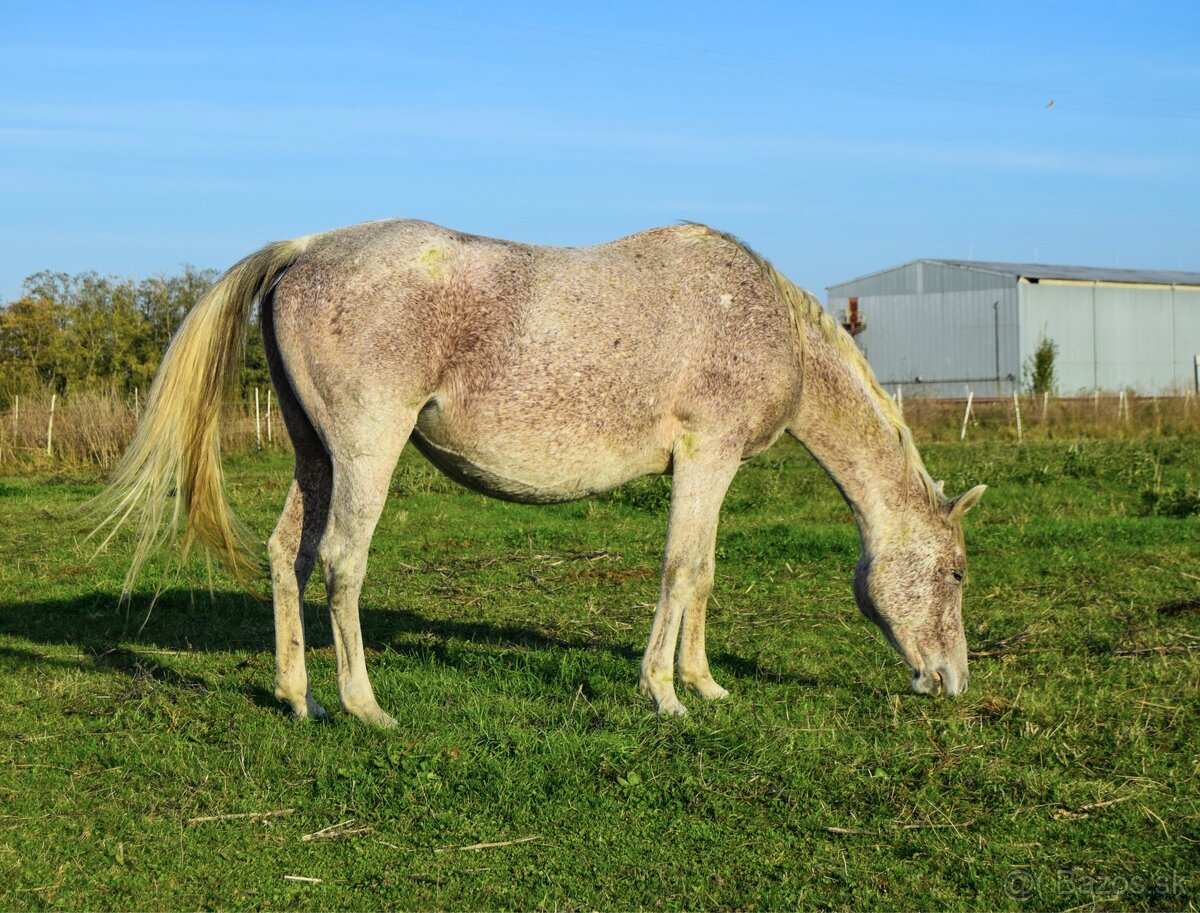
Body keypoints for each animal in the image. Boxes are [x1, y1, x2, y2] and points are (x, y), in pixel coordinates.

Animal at [96, 217, 984, 724]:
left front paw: (703, 683)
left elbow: (703, 573)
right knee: (343, 563)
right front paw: (664, 694)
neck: (769, 325)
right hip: (364, 451)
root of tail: (304, 252)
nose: (949, 680)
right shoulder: (708, 454)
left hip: (313, 456)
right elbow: (682, 569)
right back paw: (364, 706)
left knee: (290, 556)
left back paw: (299, 697)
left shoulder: (712, 465)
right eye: (956, 571)